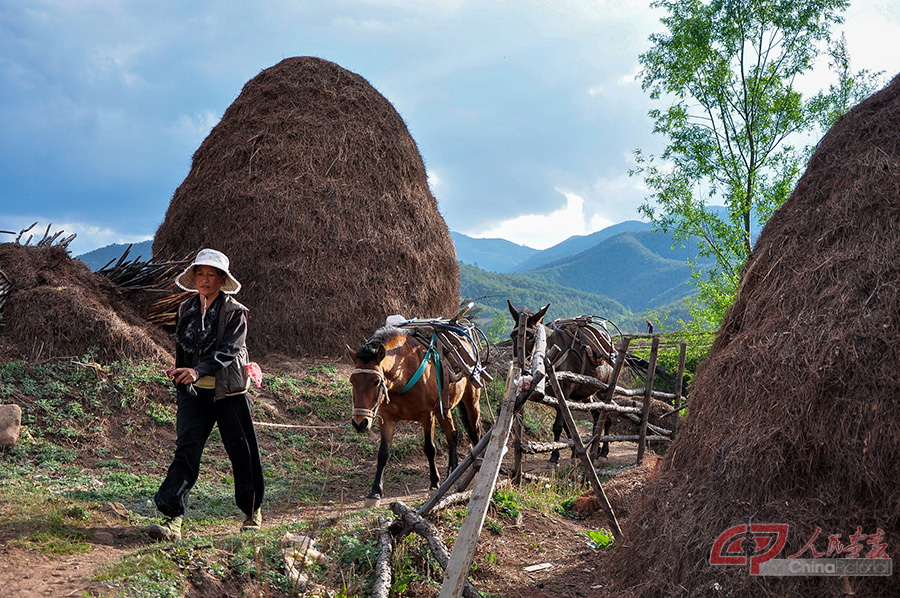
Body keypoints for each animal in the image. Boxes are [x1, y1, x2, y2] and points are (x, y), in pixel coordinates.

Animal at [346, 326, 486, 500]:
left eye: (376, 382)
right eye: (352, 381)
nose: (360, 423)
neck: (403, 373)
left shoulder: (427, 416)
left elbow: (429, 448)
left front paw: (434, 481)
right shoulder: (387, 419)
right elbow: (383, 453)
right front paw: (376, 489)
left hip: (471, 401)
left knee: (474, 431)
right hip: (443, 409)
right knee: (452, 434)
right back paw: (452, 471)